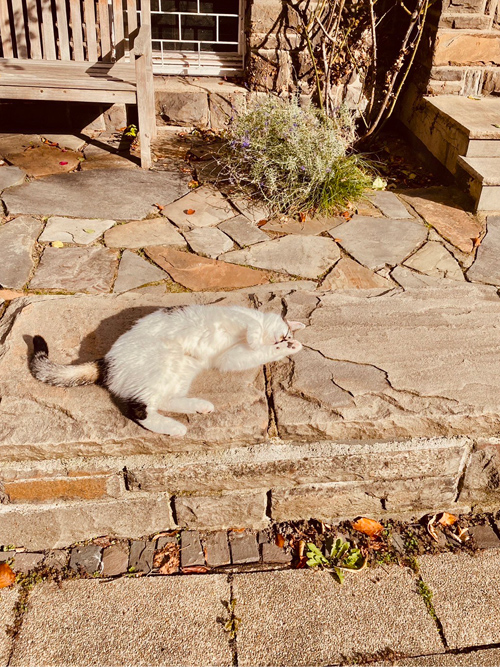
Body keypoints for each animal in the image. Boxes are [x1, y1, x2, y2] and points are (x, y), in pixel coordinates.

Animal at [31, 306, 306, 436]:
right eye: (284, 333)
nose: (282, 340)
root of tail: (107, 361)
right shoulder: (236, 317)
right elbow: (252, 330)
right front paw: (260, 340)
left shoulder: (231, 358)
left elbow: (255, 353)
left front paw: (290, 348)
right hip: (162, 365)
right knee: (138, 409)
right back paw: (175, 426)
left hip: (178, 371)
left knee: (160, 402)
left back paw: (196, 408)